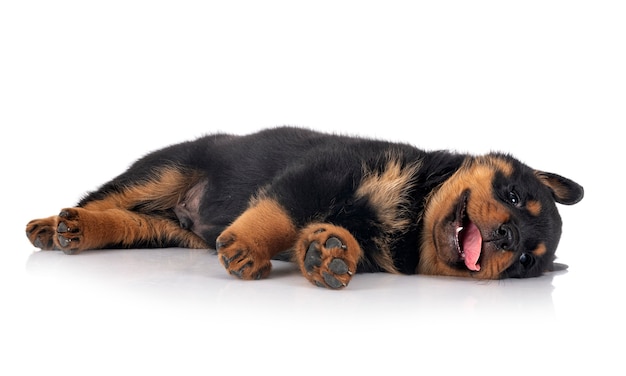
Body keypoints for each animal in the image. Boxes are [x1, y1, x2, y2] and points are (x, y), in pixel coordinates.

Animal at [24, 126, 580, 288]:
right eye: (512, 196)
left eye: (525, 261)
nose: (509, 236)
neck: (414, 218)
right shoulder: (323, 169)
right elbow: (281, 212)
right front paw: (248, 246)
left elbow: (332, 235)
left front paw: (329, 253)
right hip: (165, 169)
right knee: (104, 197)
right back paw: (55, 225)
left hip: (167, 231)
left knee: (128, 222)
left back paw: (80, 231)